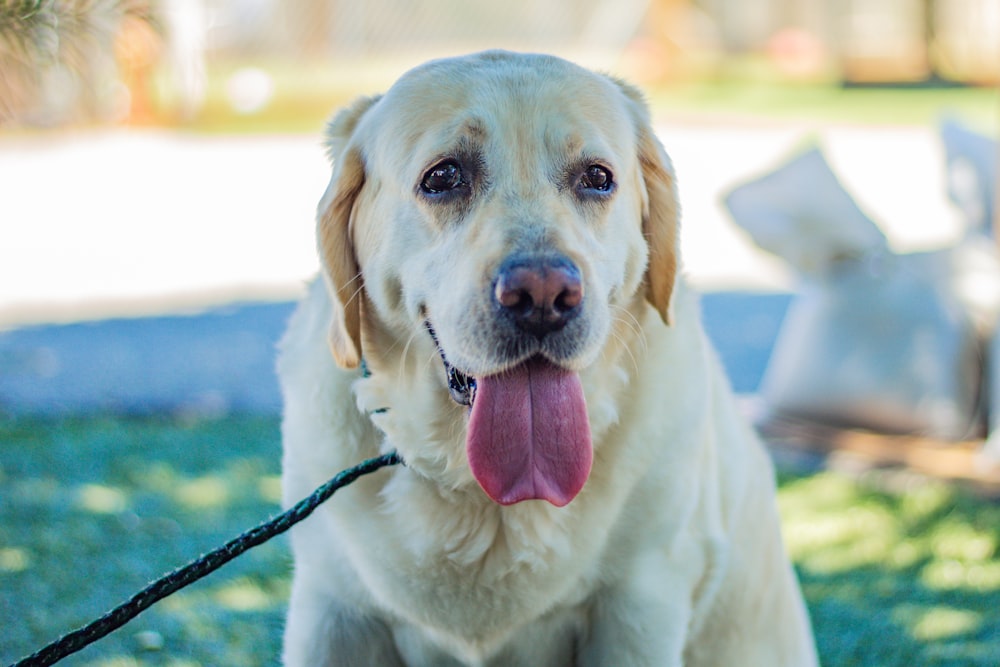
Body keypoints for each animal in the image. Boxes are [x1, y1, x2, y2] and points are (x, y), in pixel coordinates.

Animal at [276, 49, 820, 664]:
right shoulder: (330, 613)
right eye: (443, 176)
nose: (542, 296)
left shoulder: (641, 604)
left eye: (597, 178)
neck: (483, 492)